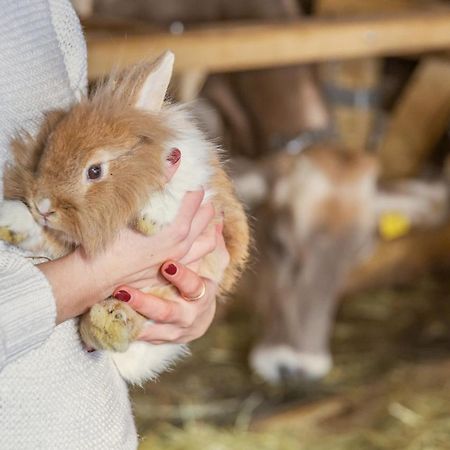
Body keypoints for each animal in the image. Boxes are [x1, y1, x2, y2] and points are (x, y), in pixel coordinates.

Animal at [0, 51, 250, 384]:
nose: (43, 206)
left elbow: (173, 190)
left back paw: (110, 322)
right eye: (46, 150)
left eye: (95, 170)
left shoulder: (199, 185)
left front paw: (151, 219)